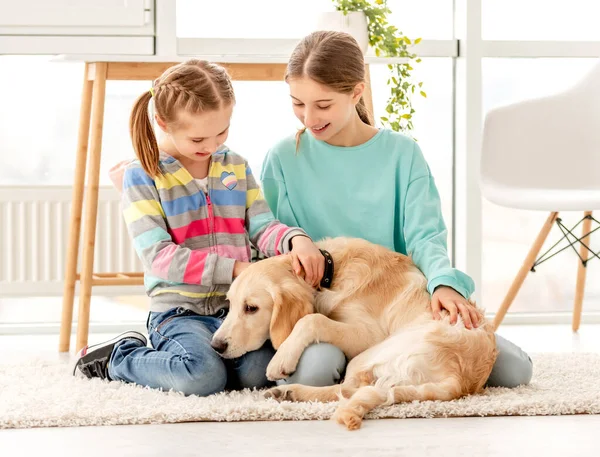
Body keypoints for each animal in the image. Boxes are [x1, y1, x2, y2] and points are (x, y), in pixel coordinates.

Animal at [211, 237, 496, 430]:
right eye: (230, 304)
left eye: (251, 308)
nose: (216, 346)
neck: (331, 273)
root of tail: (459, 380)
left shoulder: (368, 334)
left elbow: (311, 319)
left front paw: (282, 357)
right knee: (349, 390)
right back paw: (288, 393)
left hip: (373, 352)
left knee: (349, 389)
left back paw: (290, 390)